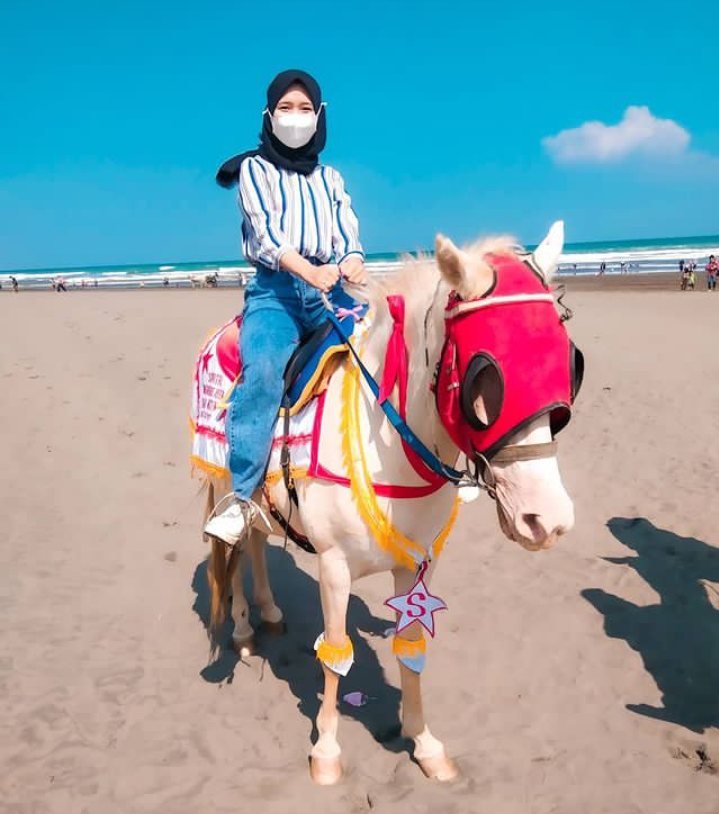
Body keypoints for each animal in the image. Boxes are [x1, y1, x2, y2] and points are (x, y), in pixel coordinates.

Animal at [196, 221, 580, 785]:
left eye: (570, 363)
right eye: (486, 377)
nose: (547, 519)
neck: (392, 445)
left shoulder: (419, 567)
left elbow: (411, 652)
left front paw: (424, 742)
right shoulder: (333, 569)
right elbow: (335, 658)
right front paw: (327, 752)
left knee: (261, 544)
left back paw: (268, 610)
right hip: (225, 479)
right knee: (238, 544)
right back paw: (244, 626)